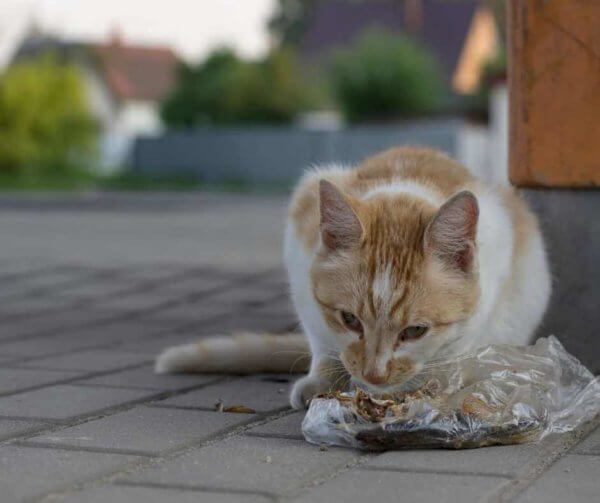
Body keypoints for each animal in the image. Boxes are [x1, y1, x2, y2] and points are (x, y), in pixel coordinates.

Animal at [157, 146, 552, 410]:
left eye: (415, 331)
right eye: (349, 319)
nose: (374, 375)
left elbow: (461, 346)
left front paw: (434, 381)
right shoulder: (300, 261)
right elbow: (321, 340)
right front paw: (324, 377)